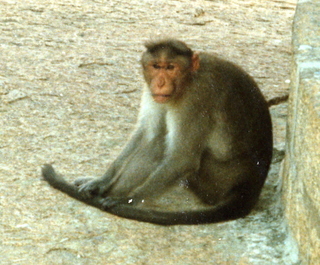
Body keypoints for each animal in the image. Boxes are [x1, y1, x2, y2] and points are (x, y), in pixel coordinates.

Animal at [42, 38, 272, 225]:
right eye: (156, 67)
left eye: (171, 67)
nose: (160, 83)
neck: (189, 80)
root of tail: (249, 187)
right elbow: (147, 133)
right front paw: (102, 182)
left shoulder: (196, 99)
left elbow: (182, 157)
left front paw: (126, 200)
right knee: (157, 141)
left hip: (215, 180)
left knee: (165, 146)